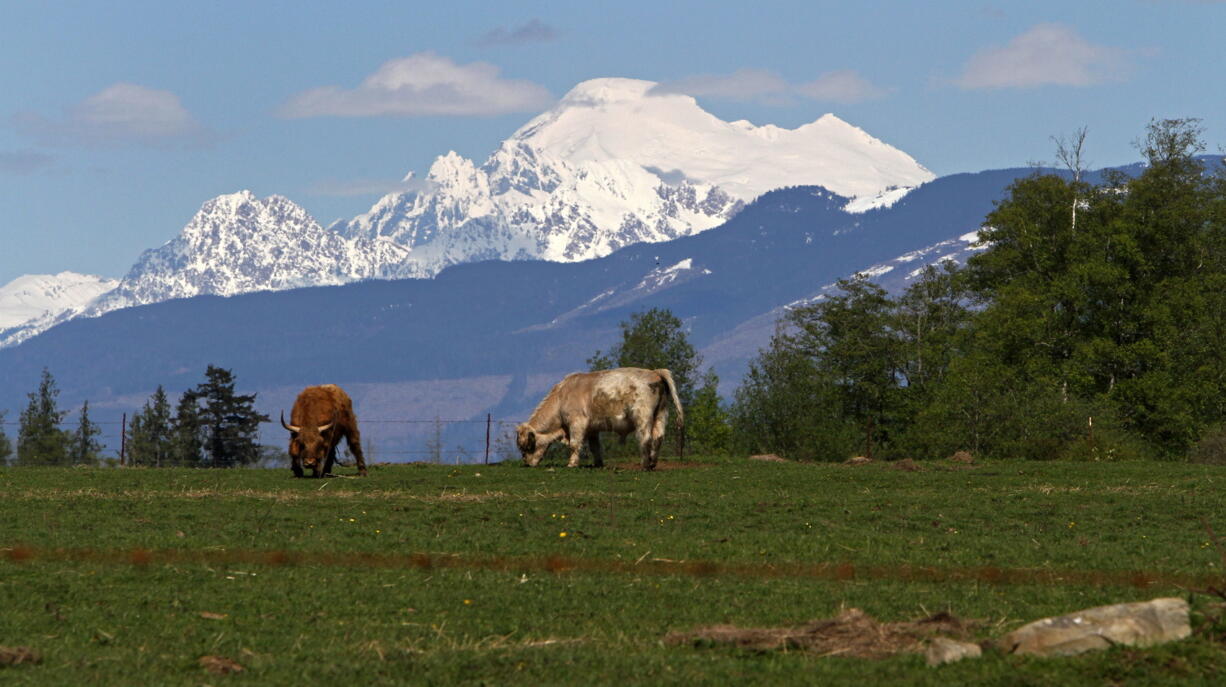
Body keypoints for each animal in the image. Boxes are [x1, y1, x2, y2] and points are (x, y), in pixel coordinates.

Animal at [514, 368, 686, 468]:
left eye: (527, 446)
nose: (527, 463)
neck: (561, 397)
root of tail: (655, 371)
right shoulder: (592, 428)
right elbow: (595, 447)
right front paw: (598, 464)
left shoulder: (577, 422)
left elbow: (575, 444)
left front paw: (572, 464)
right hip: (661, 414)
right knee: (658, 437)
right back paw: (652, 462)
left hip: (643, 416)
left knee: (646, 438)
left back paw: (644, 464)